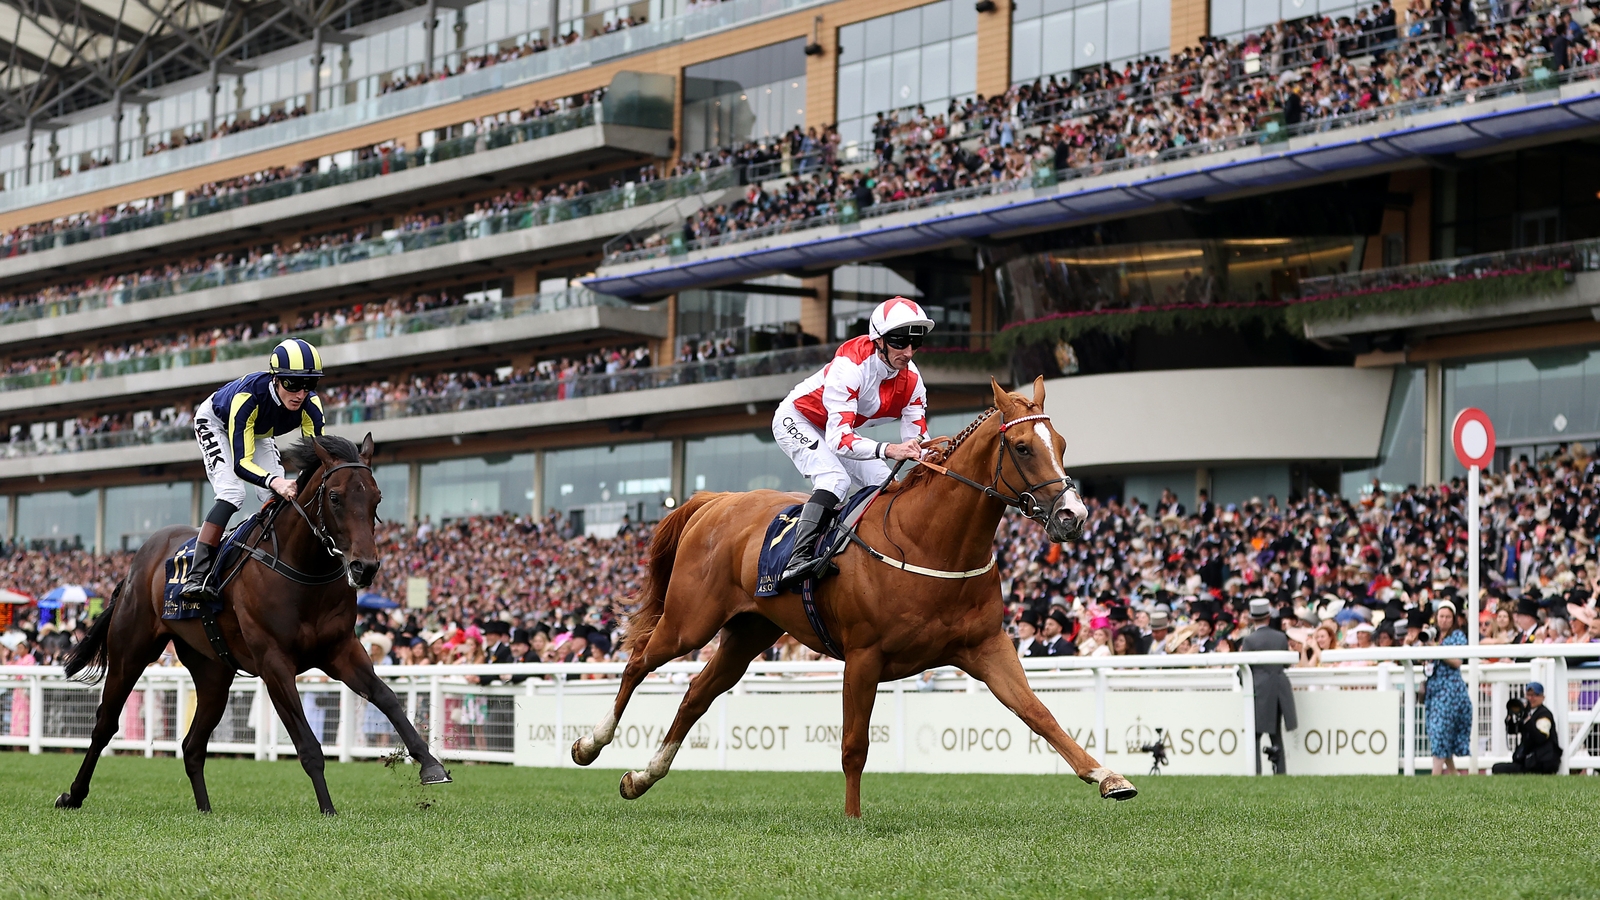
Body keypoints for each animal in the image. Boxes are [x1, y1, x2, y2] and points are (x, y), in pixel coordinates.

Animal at [59, 432, 448, 813]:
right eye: (335, 497)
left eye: (377, 498)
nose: (364, 567)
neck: (305, 570)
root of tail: (136, 563)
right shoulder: (274, 663)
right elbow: (308, 744)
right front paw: (328, 810)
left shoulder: (341, 650)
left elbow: (386, 697)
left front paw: (431, 765)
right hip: (131, 651)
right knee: (105, 724)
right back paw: (73, 795)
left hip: (212, 672)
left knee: (192, 745)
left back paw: (205, 810)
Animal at [576, 376, 1139, 813]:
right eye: (1022, 447)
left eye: (1061, 443)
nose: (1073, 516)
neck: (931, 542)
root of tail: (715, 500)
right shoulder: (864, 655)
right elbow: (853, 745)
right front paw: (852, 820)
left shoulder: (986, 647)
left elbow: (1039, 714)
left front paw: (1109, 777)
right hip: (689, 619)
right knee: (638, 662)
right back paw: (589, 744)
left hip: (749, 630)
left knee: (697, 693)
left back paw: (641, 777)